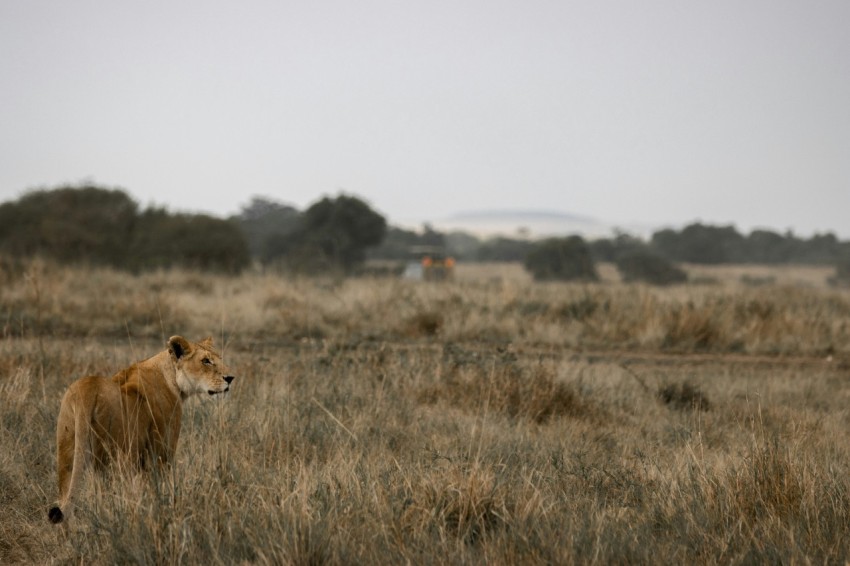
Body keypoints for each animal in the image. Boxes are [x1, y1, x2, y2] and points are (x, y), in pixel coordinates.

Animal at [47, 335, 235, 524]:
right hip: (117, 455)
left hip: (68, 453)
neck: (171, 376)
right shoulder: (161, 452)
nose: (230, 378)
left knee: (67, 497)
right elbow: (158, 486)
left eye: (219, 358)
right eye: (205, 361)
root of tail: (87, 389)